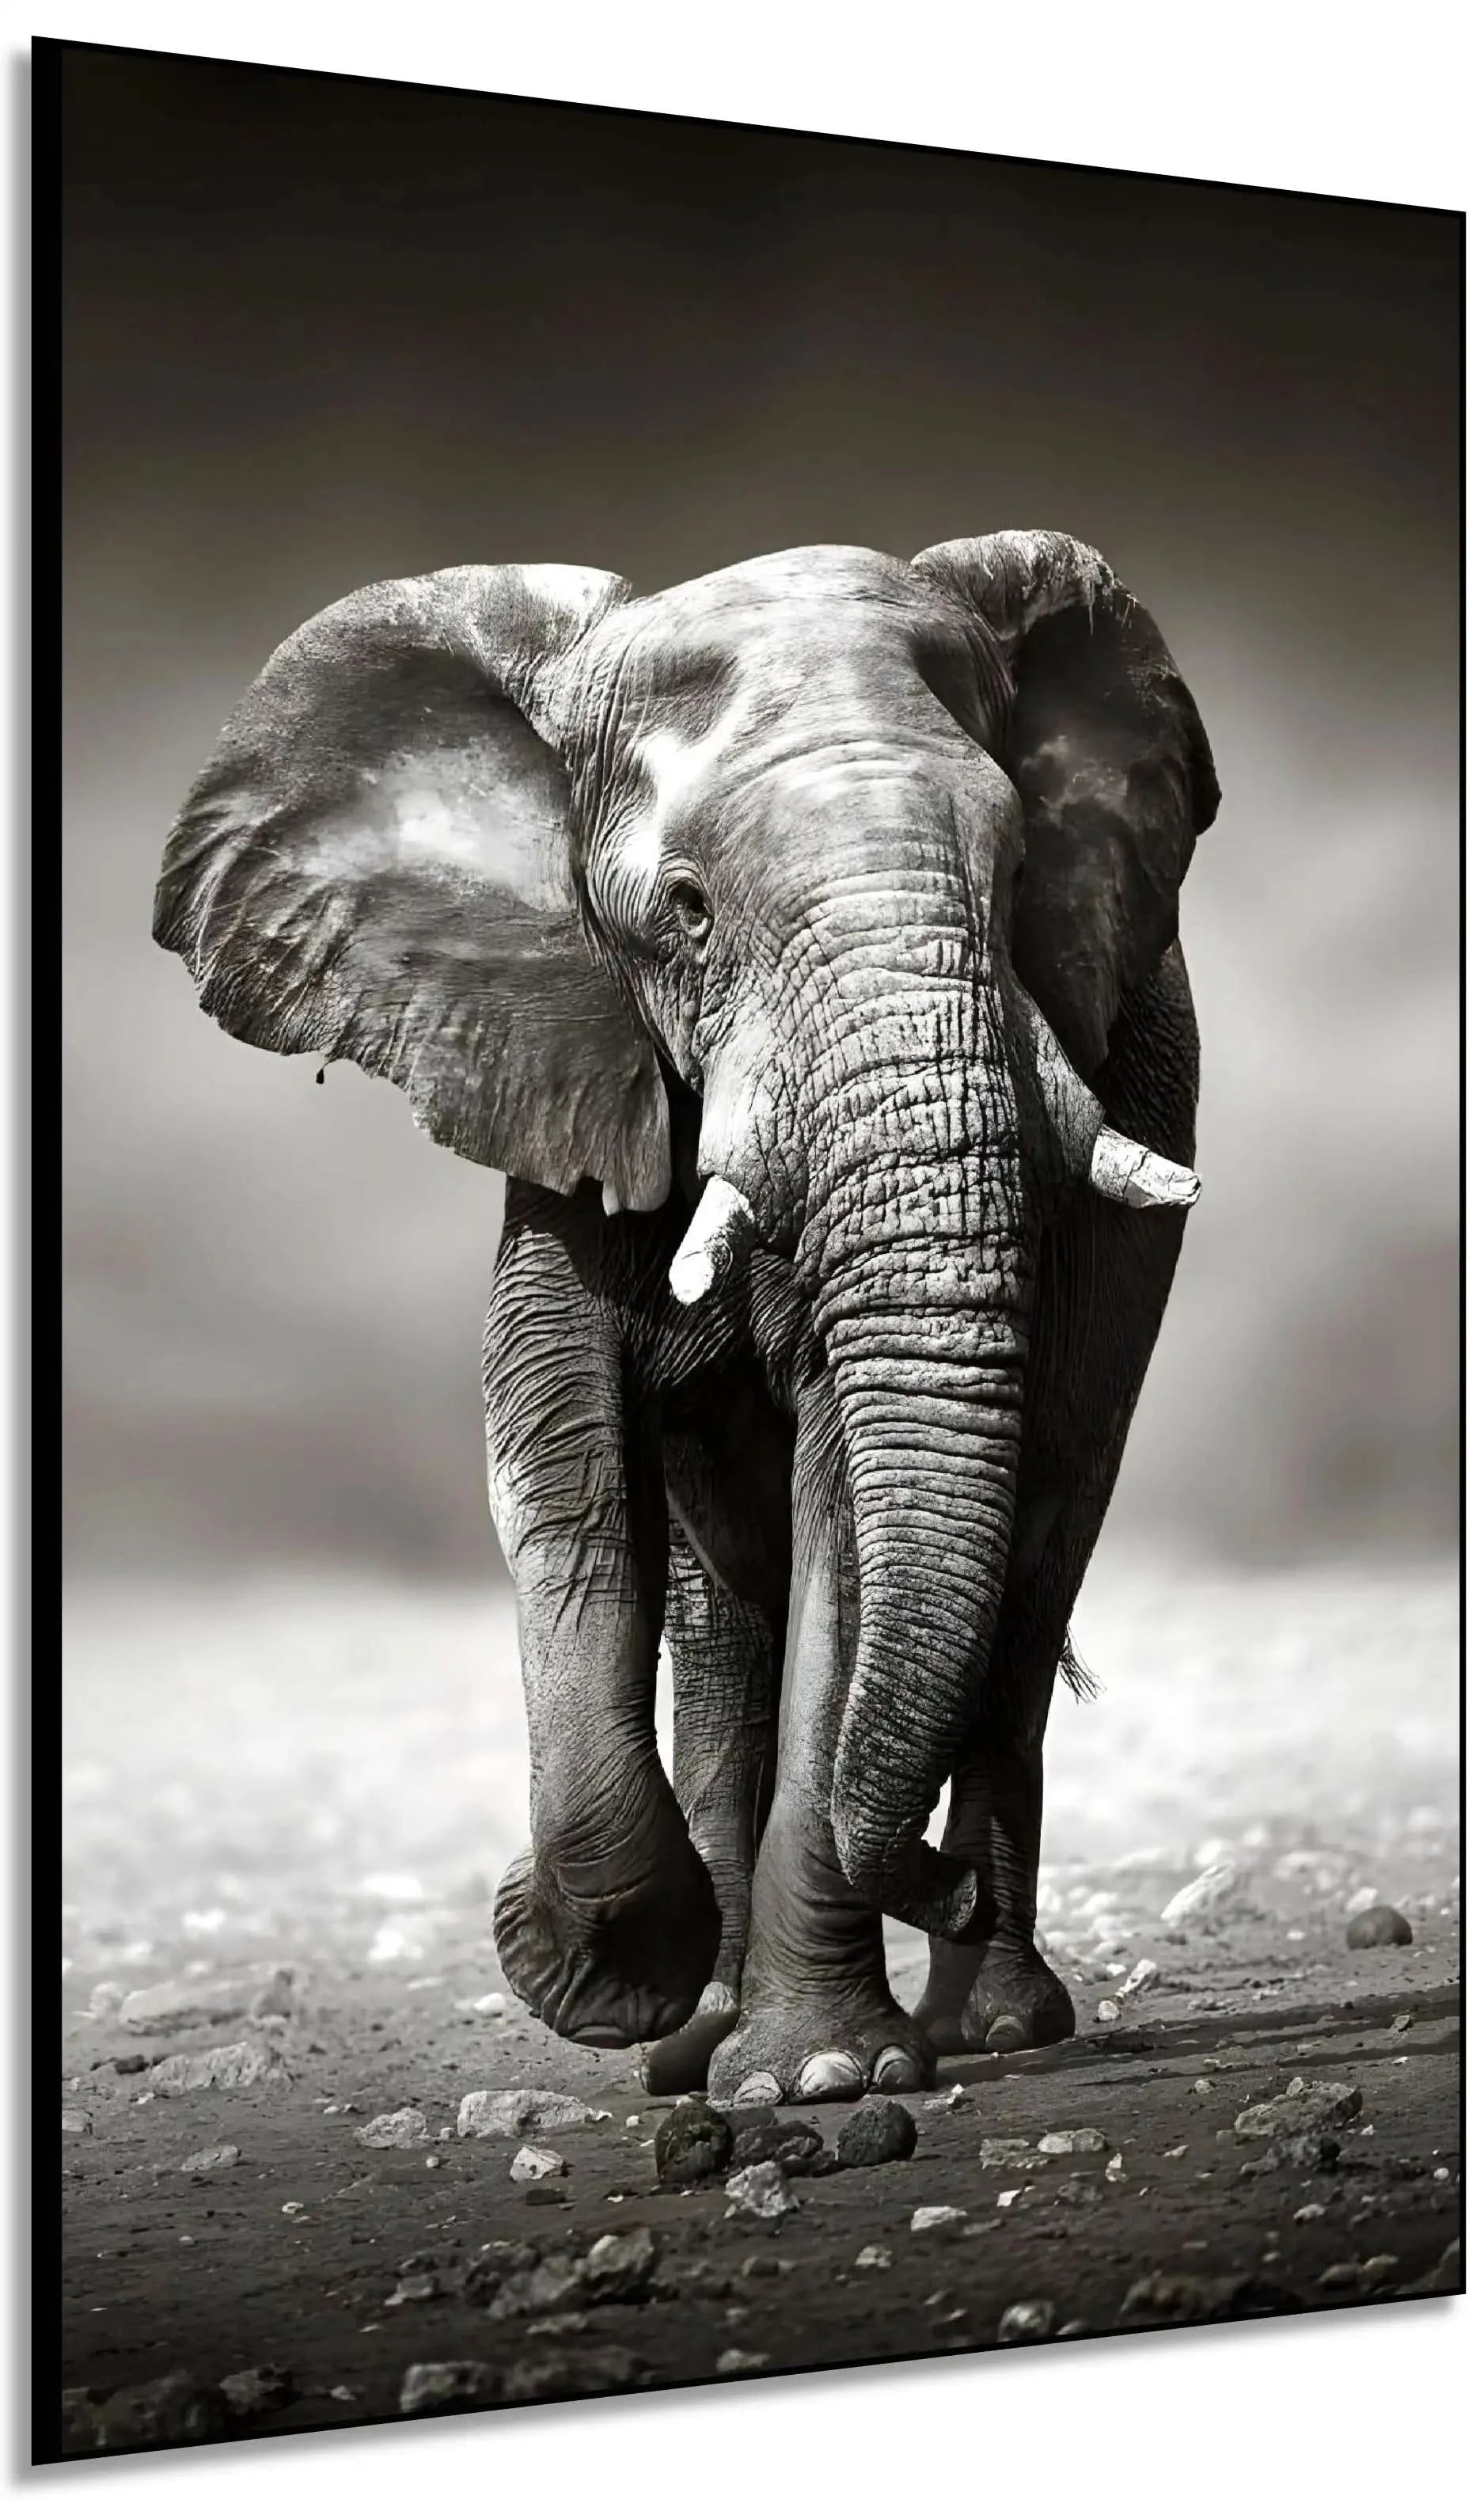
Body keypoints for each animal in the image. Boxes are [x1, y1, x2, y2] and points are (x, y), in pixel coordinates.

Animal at [154, 532, 1218, 2106]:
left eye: (1021, 871)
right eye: (686, 906)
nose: (942, 1883)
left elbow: (845, 1503)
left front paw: (816, 2077)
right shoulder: (560, 1058)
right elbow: (564, 1461)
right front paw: (615, 1983)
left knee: (1031, 1562)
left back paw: (986, 2022)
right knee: (730, 1619)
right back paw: (704, 2029)